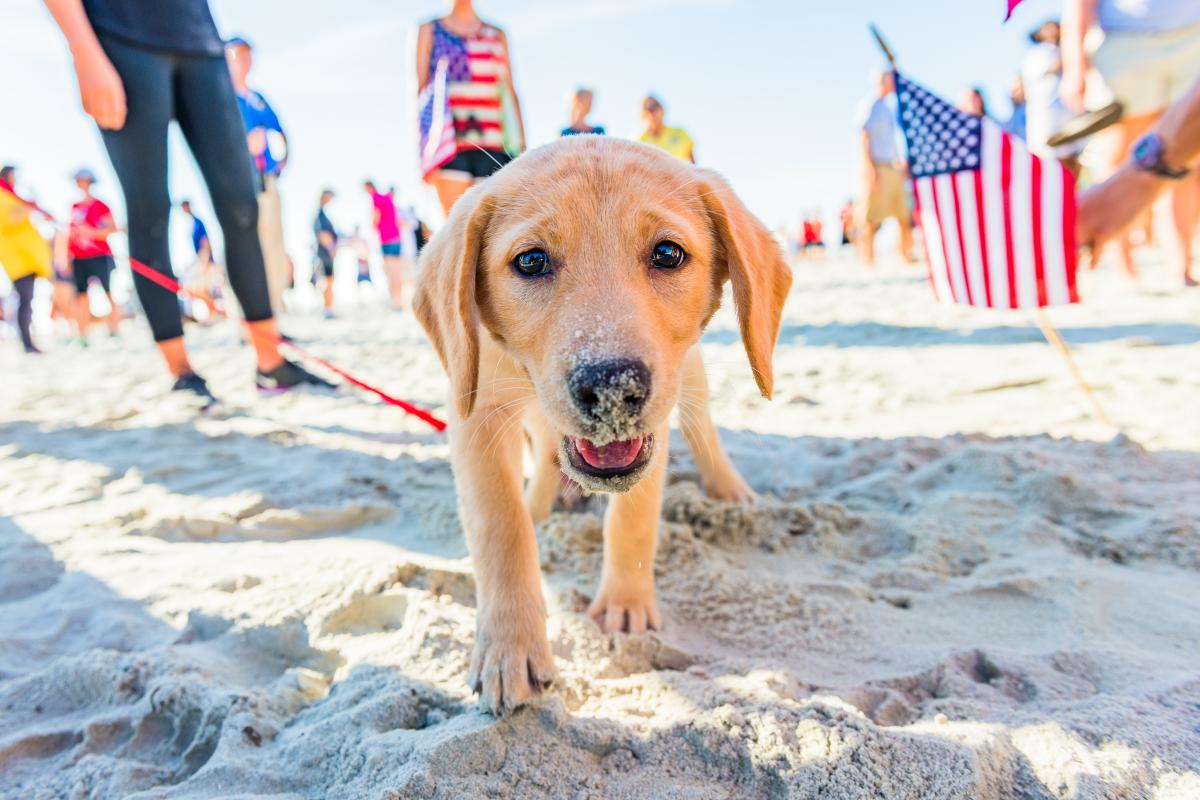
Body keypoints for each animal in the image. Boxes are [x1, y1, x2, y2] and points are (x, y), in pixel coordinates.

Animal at [417, 136, 792, 714]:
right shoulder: (476, 413)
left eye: (667, 254)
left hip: (692, 378)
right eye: (531, 260)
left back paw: (729, 491)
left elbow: (633, 518)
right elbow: (500, 527)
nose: (614, 386)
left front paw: (625, 605)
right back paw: (543, 503)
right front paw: (509, 648)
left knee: (704, 431)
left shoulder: (654, 429)